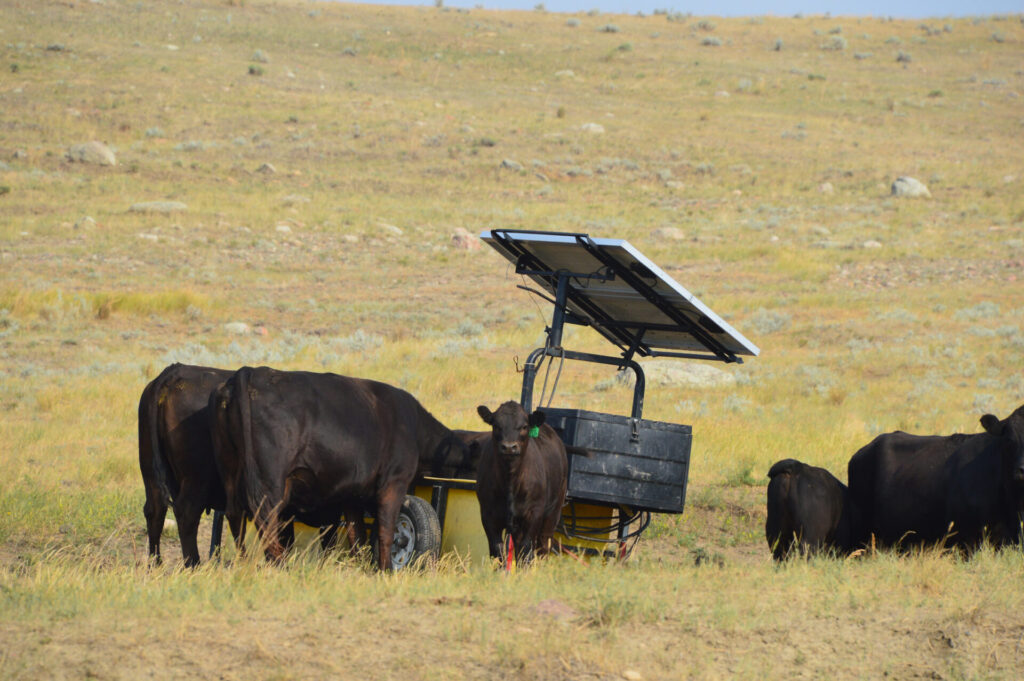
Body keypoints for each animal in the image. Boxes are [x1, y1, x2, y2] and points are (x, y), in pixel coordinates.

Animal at [138, 364, 239, 565]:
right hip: (196, 478)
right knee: (187, 514)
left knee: (154, 511)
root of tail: (172, 373)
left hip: (149, 470)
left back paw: (155, 566)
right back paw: (194, 564)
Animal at [209, 366, 481, 569]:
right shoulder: (393, 482)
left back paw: (245, 562)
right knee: (266, 518)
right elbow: (386, 529)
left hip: (230, 467)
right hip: (271, 481)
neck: (413, 426)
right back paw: (280, 565)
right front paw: (385, 570)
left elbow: (356, 534)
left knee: (236, 514)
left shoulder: (352, 494)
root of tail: (251, 372)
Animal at [477, 399, 573, 561]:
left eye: (524, 426)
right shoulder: (488, 515)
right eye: (496, 425)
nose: (509, 447)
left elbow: (526, 550)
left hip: (553, 512)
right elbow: (498, 550)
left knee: (543, 546)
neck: (510, 481)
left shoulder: (533, 514)